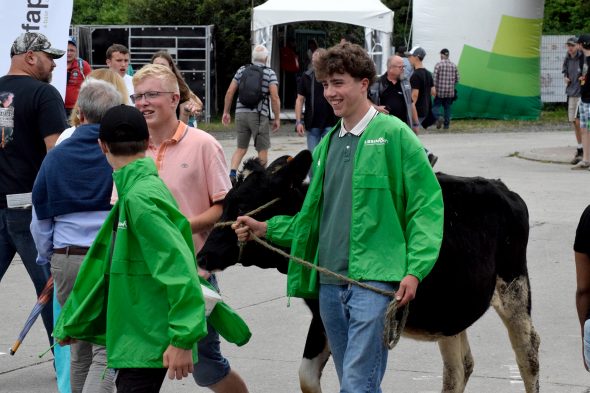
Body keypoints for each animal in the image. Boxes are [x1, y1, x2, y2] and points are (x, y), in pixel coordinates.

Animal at [201, 151, 544, 392]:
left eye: (242, 205)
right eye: (225, 201)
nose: (203, 255)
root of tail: (503, 188)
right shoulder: (322, 313)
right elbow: (308, 377)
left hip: (514, 287)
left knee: (527, 353)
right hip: (449, 309)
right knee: (459, 368)